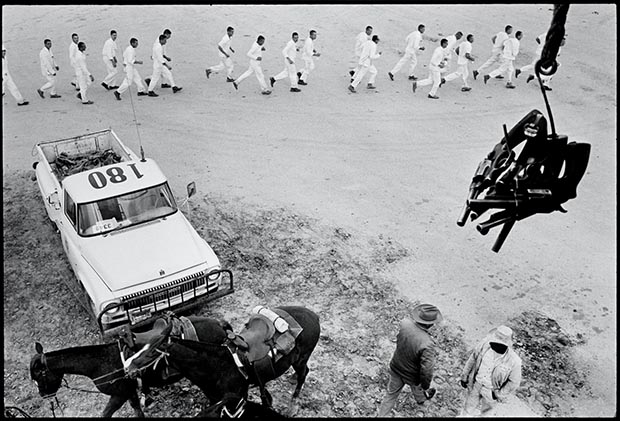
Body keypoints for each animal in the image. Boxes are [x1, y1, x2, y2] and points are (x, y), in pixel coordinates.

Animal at [29, 316, 232, 416]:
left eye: (38, 376)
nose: (44, 395)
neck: (99, 364)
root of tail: (219, 324)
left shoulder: (118, 396)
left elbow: (106, 414)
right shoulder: (130, 393)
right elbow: (137, 410)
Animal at [125, 306, 320, 416]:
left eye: (152, 352)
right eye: (142, 347)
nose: (127, 366)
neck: (218, 367)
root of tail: (314, 316)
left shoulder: (237, 400)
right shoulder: (214, 400)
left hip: (301, 359)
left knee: (304, 373)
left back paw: (293, 403)